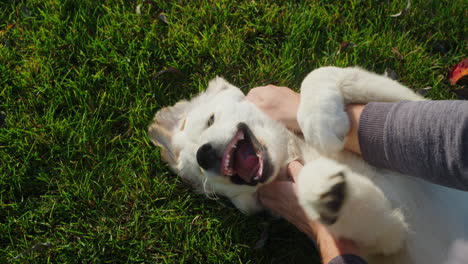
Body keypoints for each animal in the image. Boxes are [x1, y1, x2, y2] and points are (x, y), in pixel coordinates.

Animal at [149, 66, 468, 264]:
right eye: (201, 172)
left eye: (210, 120)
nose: (203, 155)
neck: (295, 150)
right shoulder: (390, 237)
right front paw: (323, 191)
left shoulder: (414, 104)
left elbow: (322, 72)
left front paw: (319, 119)